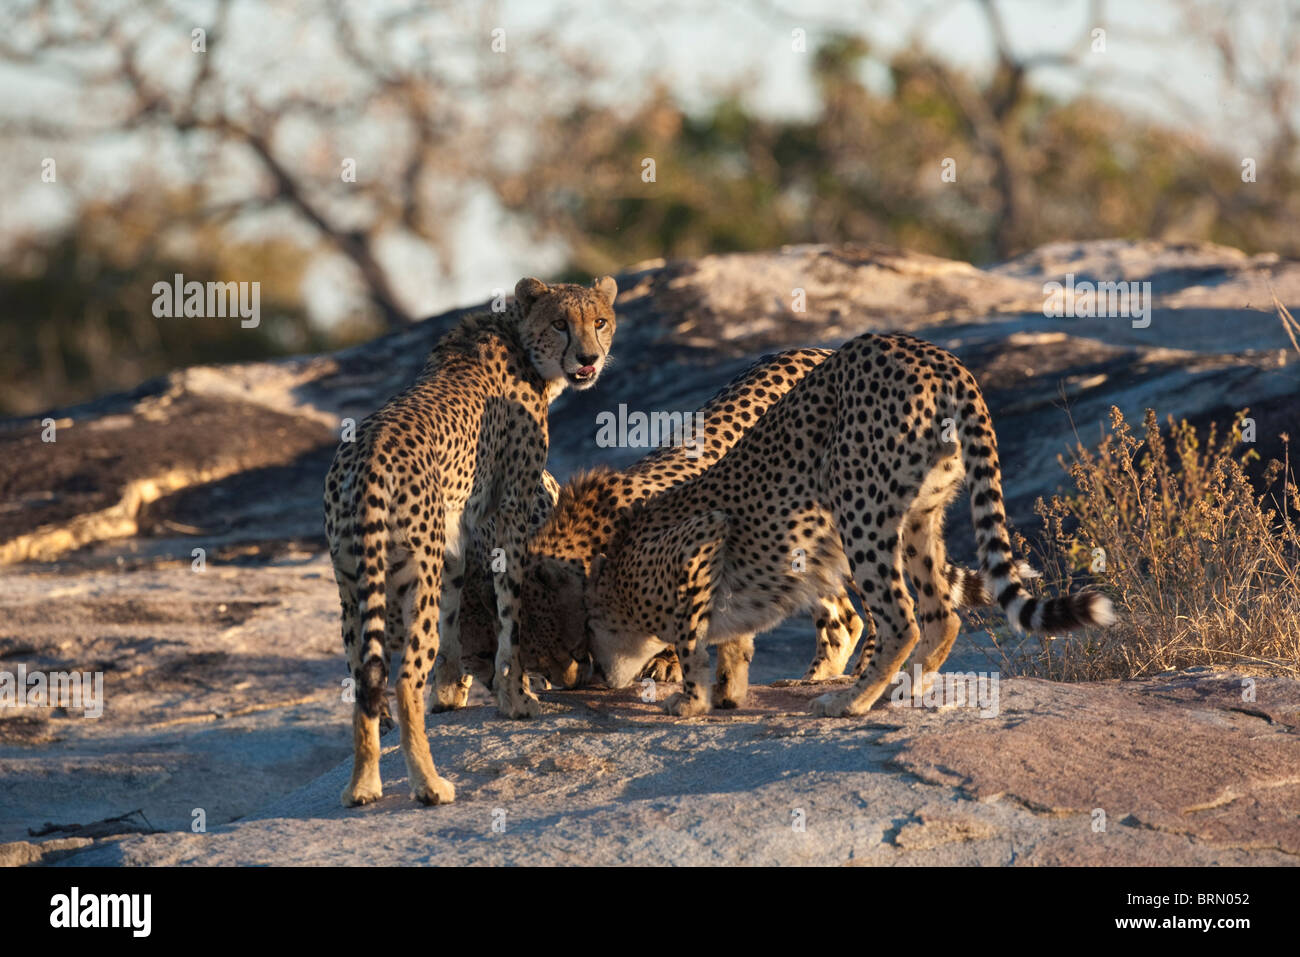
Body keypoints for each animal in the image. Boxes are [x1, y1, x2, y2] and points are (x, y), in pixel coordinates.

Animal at [319, 276, 613, 806]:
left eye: (599, 321)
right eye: (561, 323)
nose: (587, 359)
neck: (519, 339)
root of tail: (367, 453)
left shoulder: (455, 531)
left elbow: (456, 614)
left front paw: (452, 691)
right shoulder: (510, 512)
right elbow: (510, 613)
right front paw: (516, 698)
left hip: (352, 581)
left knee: (363, 676)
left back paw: (363, 785)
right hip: (414, 572)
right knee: (403, 679)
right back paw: (429, 784)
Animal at [533, 332, 1112, 712]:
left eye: (572, 638)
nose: (575, 678)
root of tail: (939, 357)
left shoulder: (704, 541)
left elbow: (694, 632)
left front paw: (689, 691)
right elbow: (732, 634)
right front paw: (725, 689)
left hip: (856, 508)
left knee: (890, 617)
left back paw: (850, 699)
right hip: (911, 518)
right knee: (927, 614)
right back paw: (889, 688)